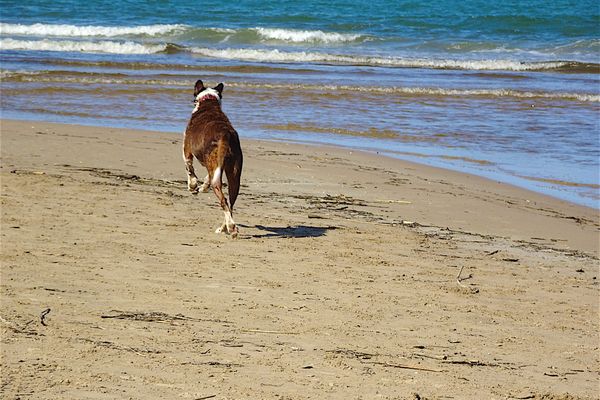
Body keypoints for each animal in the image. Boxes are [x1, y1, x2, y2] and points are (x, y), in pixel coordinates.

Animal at [182, 80, 243, 239]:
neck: (209, 101)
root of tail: (226, 135)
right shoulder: (214, 168)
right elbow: (205, 179)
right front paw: (202, 187)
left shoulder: (186, 149)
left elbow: (189, 169)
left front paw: (193, 187)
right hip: (234, 174)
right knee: (231, 203)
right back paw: (224, 228)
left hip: (218, 171)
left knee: (223, 200)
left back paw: (231, 227)